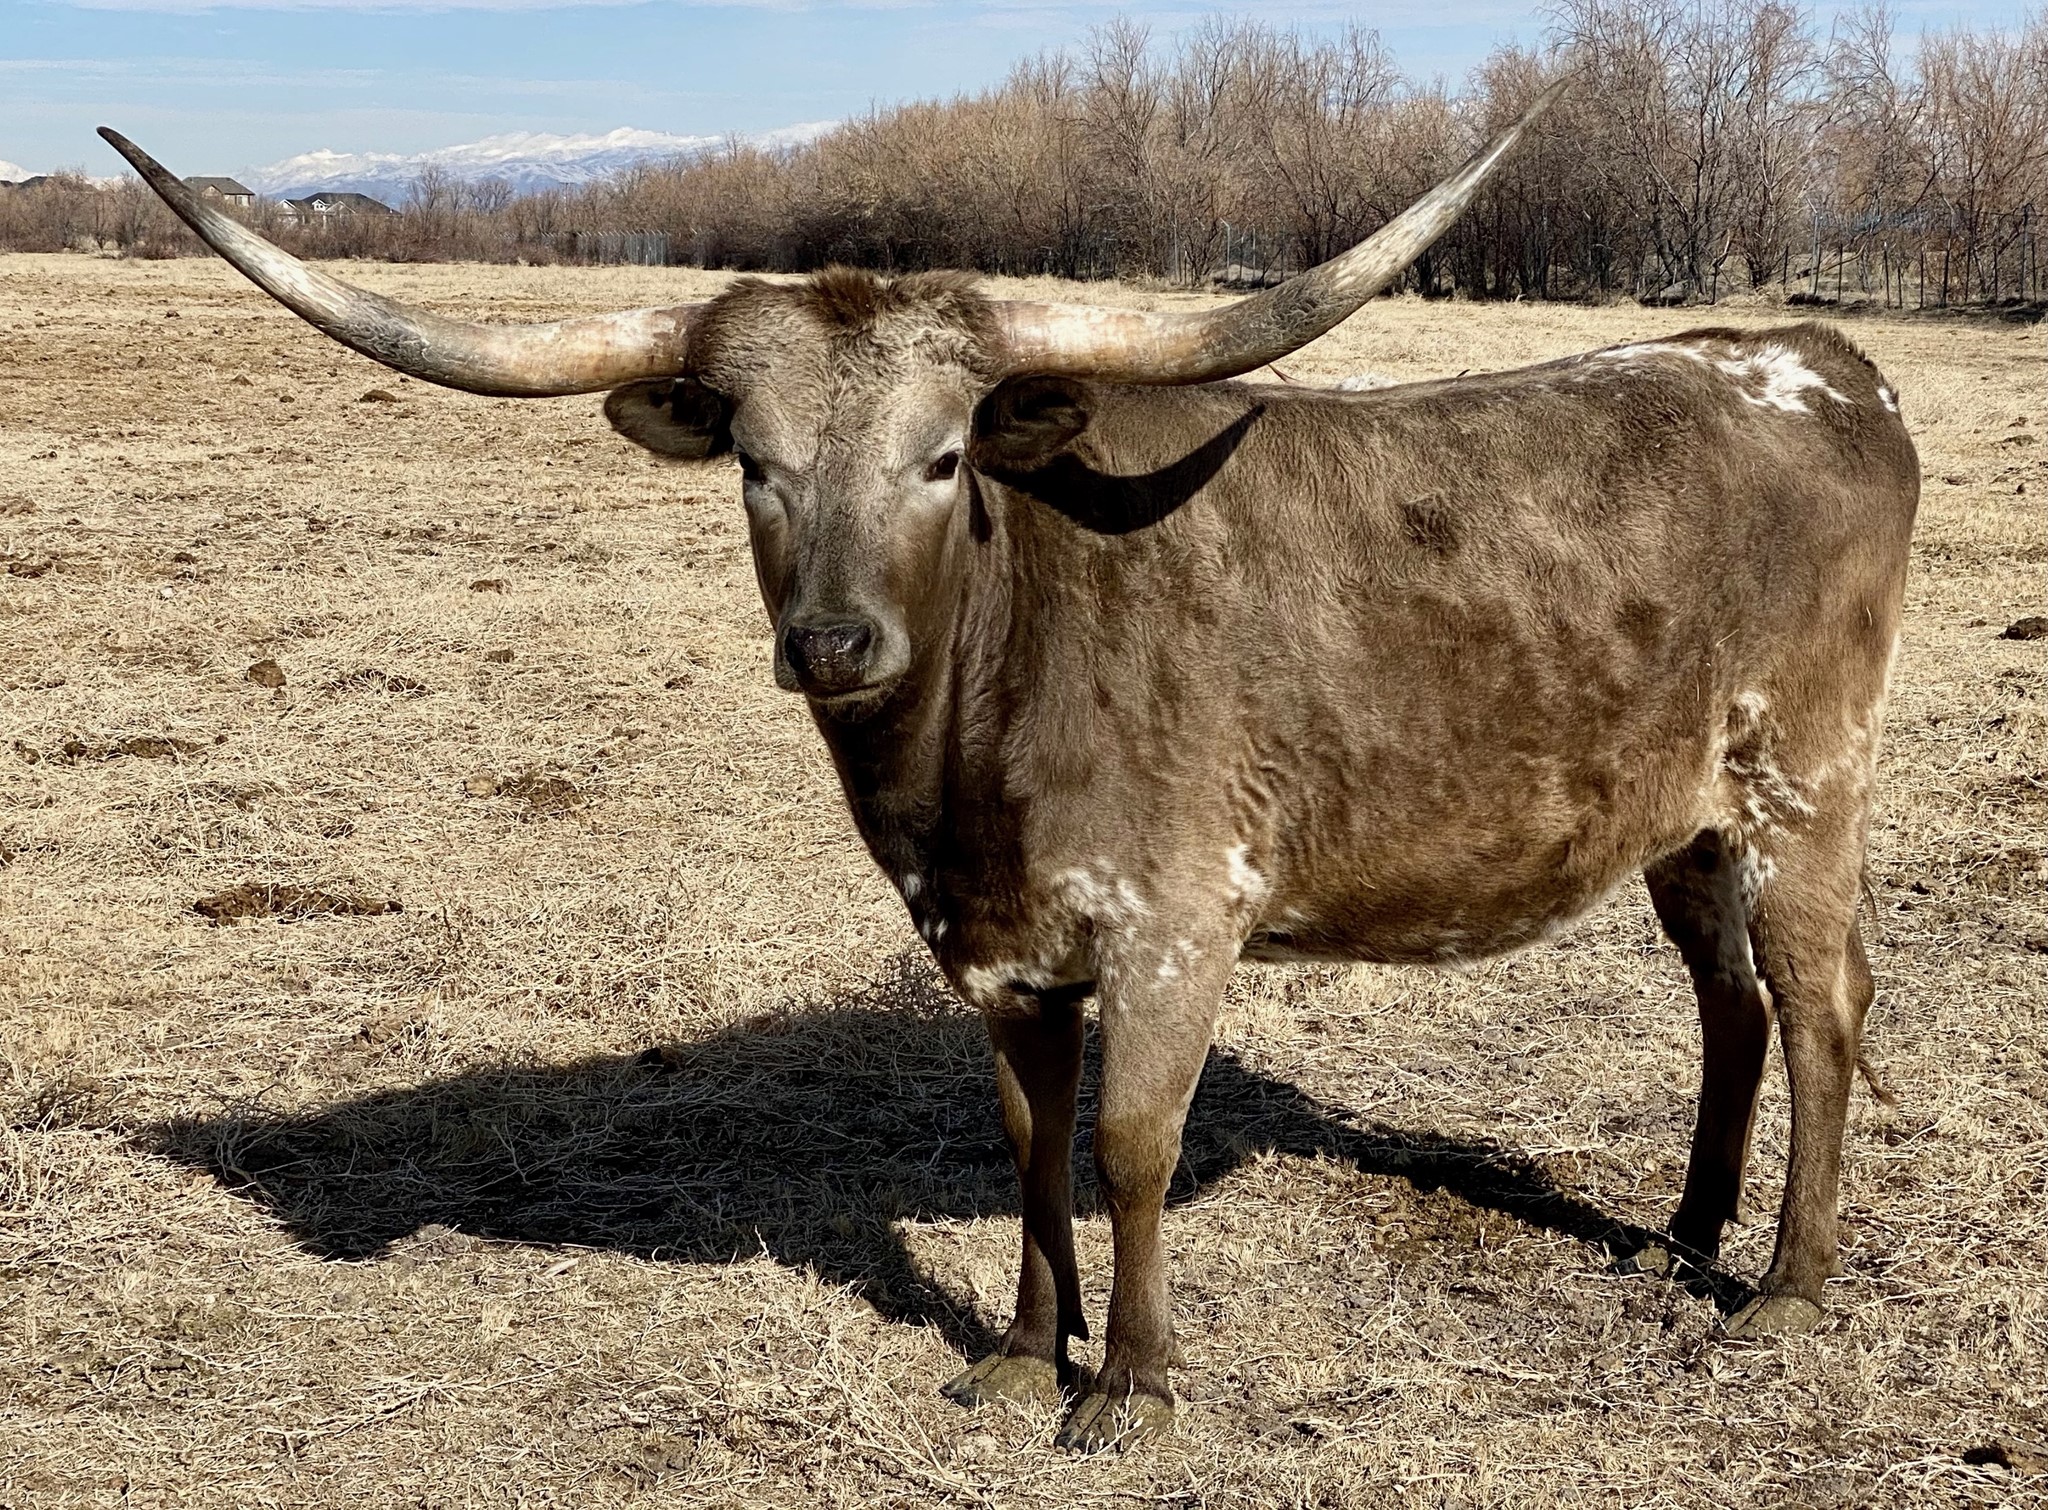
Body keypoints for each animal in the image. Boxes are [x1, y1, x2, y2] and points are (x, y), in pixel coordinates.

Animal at [105, 87, 1918, 1452]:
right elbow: (1031, 1141)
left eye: (942, 456)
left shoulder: (1177, 917)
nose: (834, 641)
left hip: (1804, 784)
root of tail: (1815, 361)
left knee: (1820, 1006)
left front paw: (1128, 1387)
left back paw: (1782, 1291)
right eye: (753, 464)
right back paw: (1682, 1235)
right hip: (1686, 820)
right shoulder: (991, 947)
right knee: (1729, 1002)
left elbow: (1128, 1145)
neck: (967, 754)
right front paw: (1017, 1354)